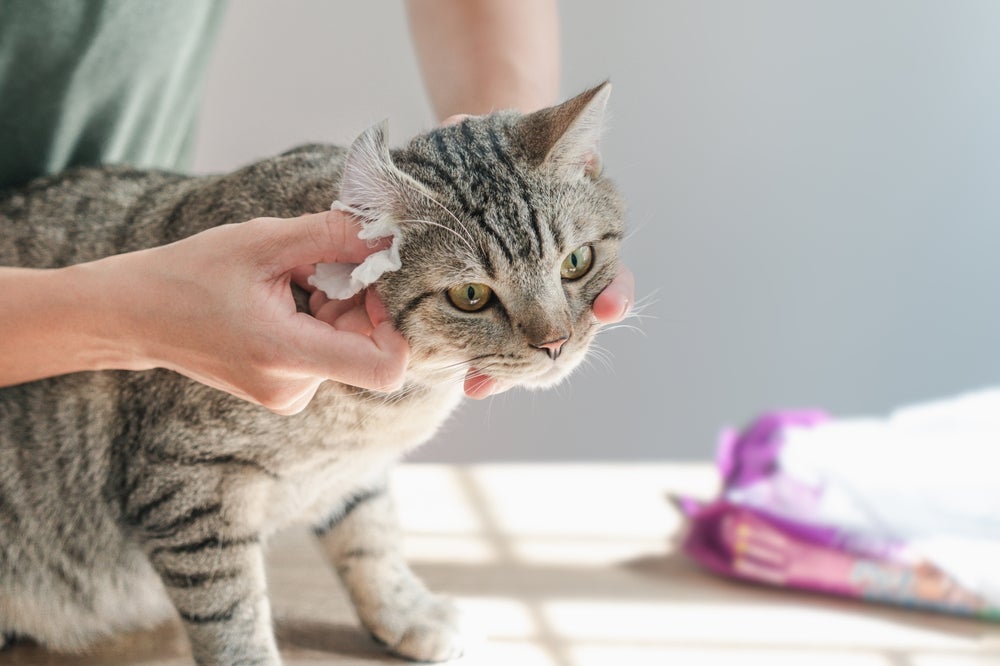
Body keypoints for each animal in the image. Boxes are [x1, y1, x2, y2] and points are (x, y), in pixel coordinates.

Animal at [0, 85, 624, 660]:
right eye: (470, 295)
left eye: (576, 262)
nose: (555, 342)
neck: (386, 409)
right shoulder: (184, 486)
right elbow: (229, 613)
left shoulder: (354, 471)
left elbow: (371, 538)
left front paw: (405, 611)